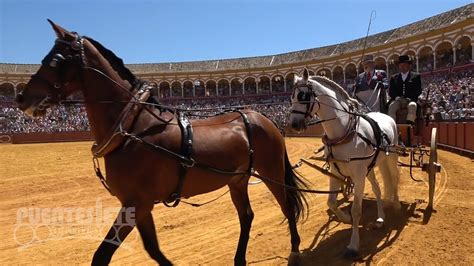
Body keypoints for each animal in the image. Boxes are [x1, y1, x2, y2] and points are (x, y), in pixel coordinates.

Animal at [15, 20, 308, 264]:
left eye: (56, 60)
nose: (22, 98)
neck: (133, 129)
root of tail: (262, 117)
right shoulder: (139, 205)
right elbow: (153, 249)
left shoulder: (137, 202)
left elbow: (103, 254)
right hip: (237, 180)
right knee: (247, 216)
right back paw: (239, 259)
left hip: (271, 172)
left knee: (286, 205)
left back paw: (295, 249)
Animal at [288, 69, 400, 258]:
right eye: (291, 97)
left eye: (303, 95)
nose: (294, 125)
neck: (344, 133)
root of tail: (385, 116)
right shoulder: (336, 171)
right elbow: (331, 202)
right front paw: (345, 218)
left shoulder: (359, 175)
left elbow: (356, 210)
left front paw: (353, 245)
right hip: (369, 168)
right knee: (377, 188)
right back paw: (380, 217)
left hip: (390, 158)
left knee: (394, 179)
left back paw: (397, 205)